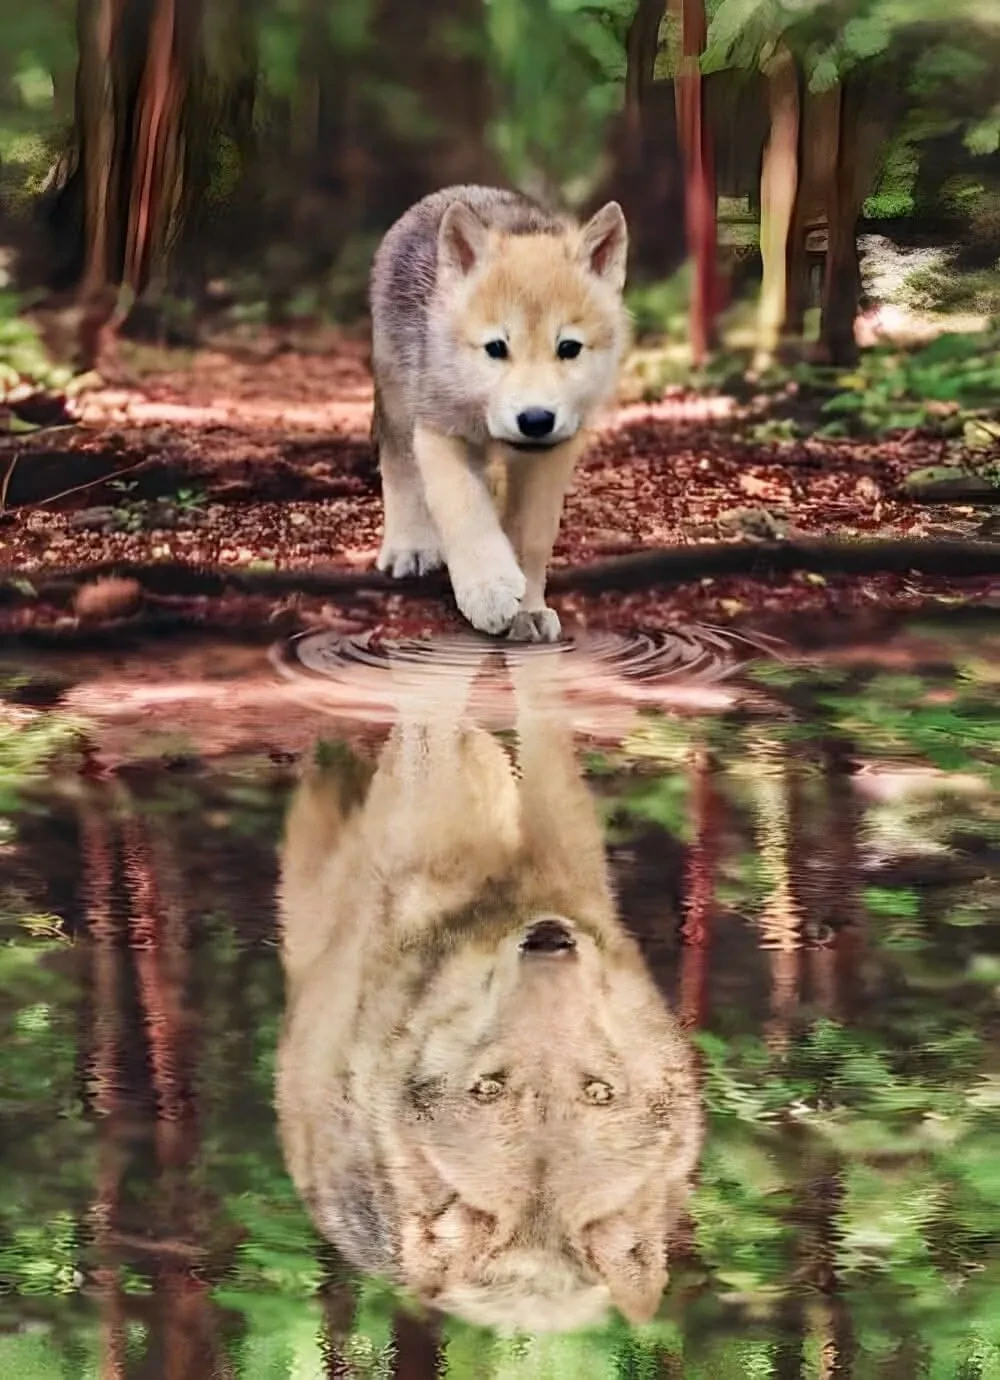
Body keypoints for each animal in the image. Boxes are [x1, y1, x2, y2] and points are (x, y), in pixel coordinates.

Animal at [369, 186, 630, 642]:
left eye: (569, 347)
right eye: (496, 348)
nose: (535, 420)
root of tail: (452, 193)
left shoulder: (553, 451)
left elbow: (529, 537)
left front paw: (528, 610)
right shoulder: (438, 429)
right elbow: (465, 509)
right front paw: (488, 591)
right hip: (399, 401)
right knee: (399, 467)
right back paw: (409, 547)